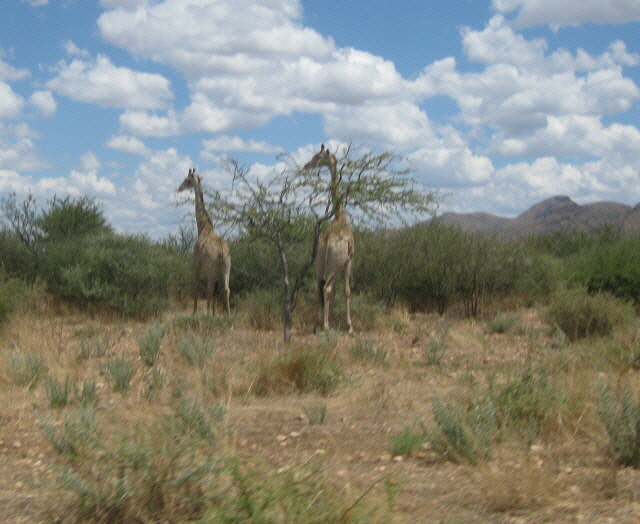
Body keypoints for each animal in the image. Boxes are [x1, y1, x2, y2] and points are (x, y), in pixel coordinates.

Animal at [178, 168, 232, 316]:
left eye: (187, 180)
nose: (179, 188)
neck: (203, 227)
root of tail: (221, 251)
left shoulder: (197, 261)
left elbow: (196, 285)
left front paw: (195, 312)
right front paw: (213, 313)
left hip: (210, 267)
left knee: (209, 288)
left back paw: (207, 314)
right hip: (226, 266)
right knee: (225, 289)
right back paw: (228, 314)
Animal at [302, 144, 352, 332]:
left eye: (319, 156)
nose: (306, 165)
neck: (340, 217)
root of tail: (327, 241)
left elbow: (336, 292)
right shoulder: (349, 261)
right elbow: (346, 290)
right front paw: (349, 326)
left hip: (319, 263)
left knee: (320, 288)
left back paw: (317, 324)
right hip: (334, 264)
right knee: (327, 288)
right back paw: (325, 326)